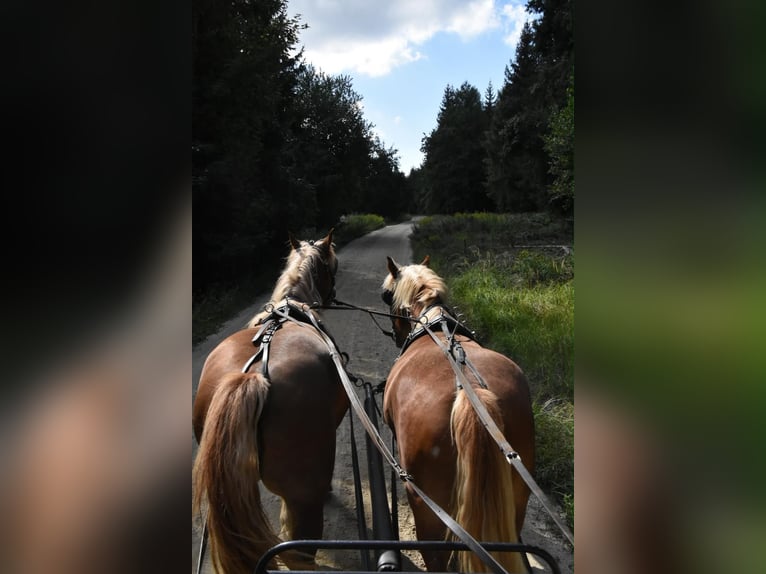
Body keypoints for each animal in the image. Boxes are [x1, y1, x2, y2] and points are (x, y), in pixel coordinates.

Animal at [381, 256, 535, 573]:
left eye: (387, 295)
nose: (396, 336)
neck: (433, 326)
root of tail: (470, 392)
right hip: (515, 498)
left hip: (427, 506)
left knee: (435, 554)